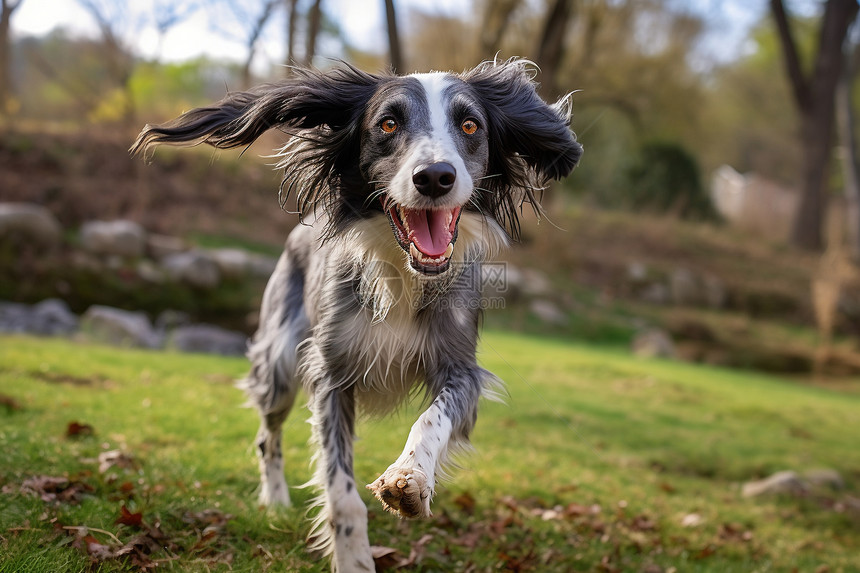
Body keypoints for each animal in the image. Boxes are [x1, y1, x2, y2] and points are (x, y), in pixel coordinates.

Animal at [131, 60, 580, 568]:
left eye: (470, 126)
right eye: (387, 124)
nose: (435, 176)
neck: (402, 274)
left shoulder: (462, 370)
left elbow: (433, 419)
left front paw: (411, 477)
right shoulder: (330, 374)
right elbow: (341, 490)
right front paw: (354, 558)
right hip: (280, 361)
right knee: (268, 436)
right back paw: (275, 500)